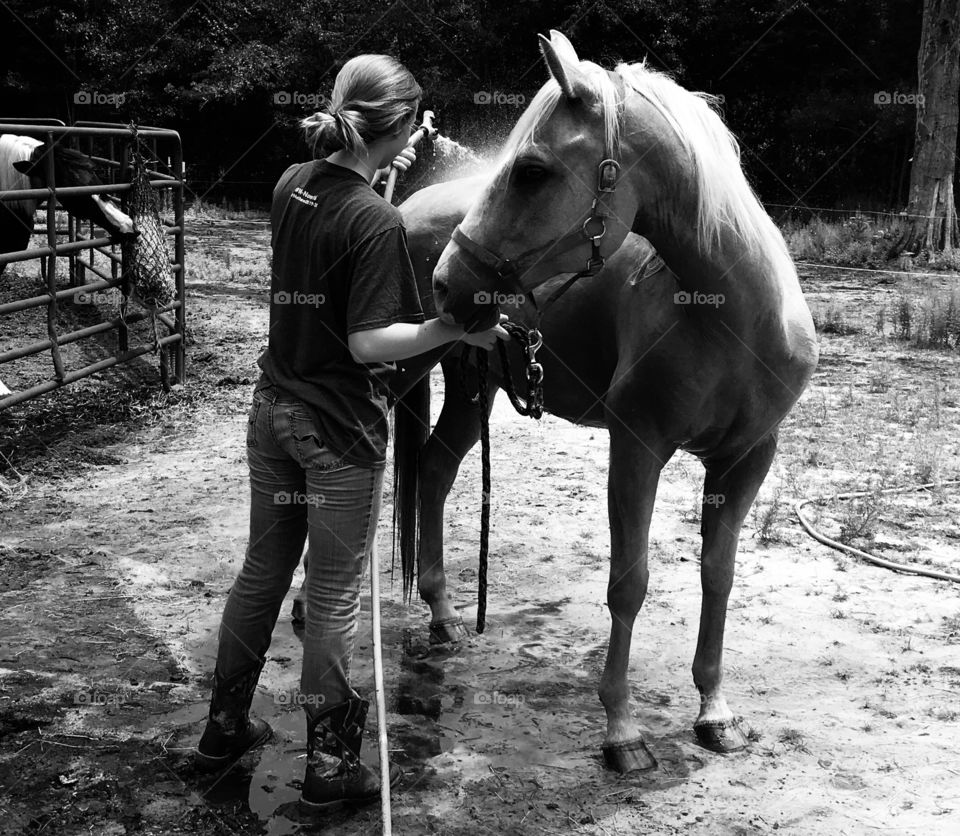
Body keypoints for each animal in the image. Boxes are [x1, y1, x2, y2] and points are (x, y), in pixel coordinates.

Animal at [390, 30, 818, 774]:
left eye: (531, 170)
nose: (446, 283)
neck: (733, 315)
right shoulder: (637, 448)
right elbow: (630, 583)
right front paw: (622, 731)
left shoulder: (745, 461)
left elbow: (719, 575)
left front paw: (714, 711)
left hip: (473, 385)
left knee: (437, 471)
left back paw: (444, 618)